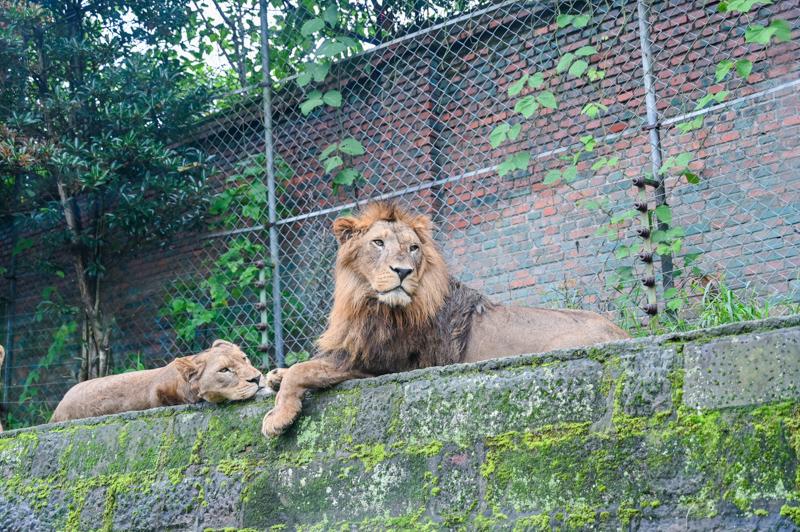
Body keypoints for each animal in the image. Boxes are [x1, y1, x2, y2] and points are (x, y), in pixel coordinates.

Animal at [264, 203, 632, 436]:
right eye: (378, 243)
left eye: (413, 248)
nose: (402, 271)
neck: (370, 303)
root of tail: (622, 332)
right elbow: (306, 364)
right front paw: (273, 376)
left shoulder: (382, 364)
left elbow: (305, 370)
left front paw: (277, 417)